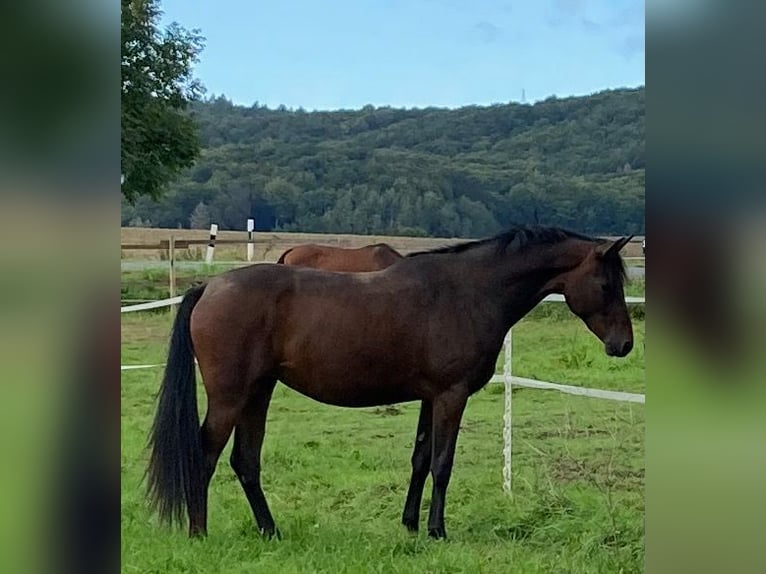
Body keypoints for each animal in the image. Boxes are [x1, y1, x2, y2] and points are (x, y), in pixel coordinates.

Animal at [147, 227, 632, 544]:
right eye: (606, 283)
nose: (624, 344)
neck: (467, 293)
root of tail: (209, 287)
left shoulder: (429, 398)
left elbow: (420, 459)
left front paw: (411, 525)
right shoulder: (451, 396)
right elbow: (442, 463)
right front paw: (437, 531)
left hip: (258, 393)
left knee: (245, 461)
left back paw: (271, 532)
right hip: (230, 397)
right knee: (205, 456)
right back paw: (199, 533)